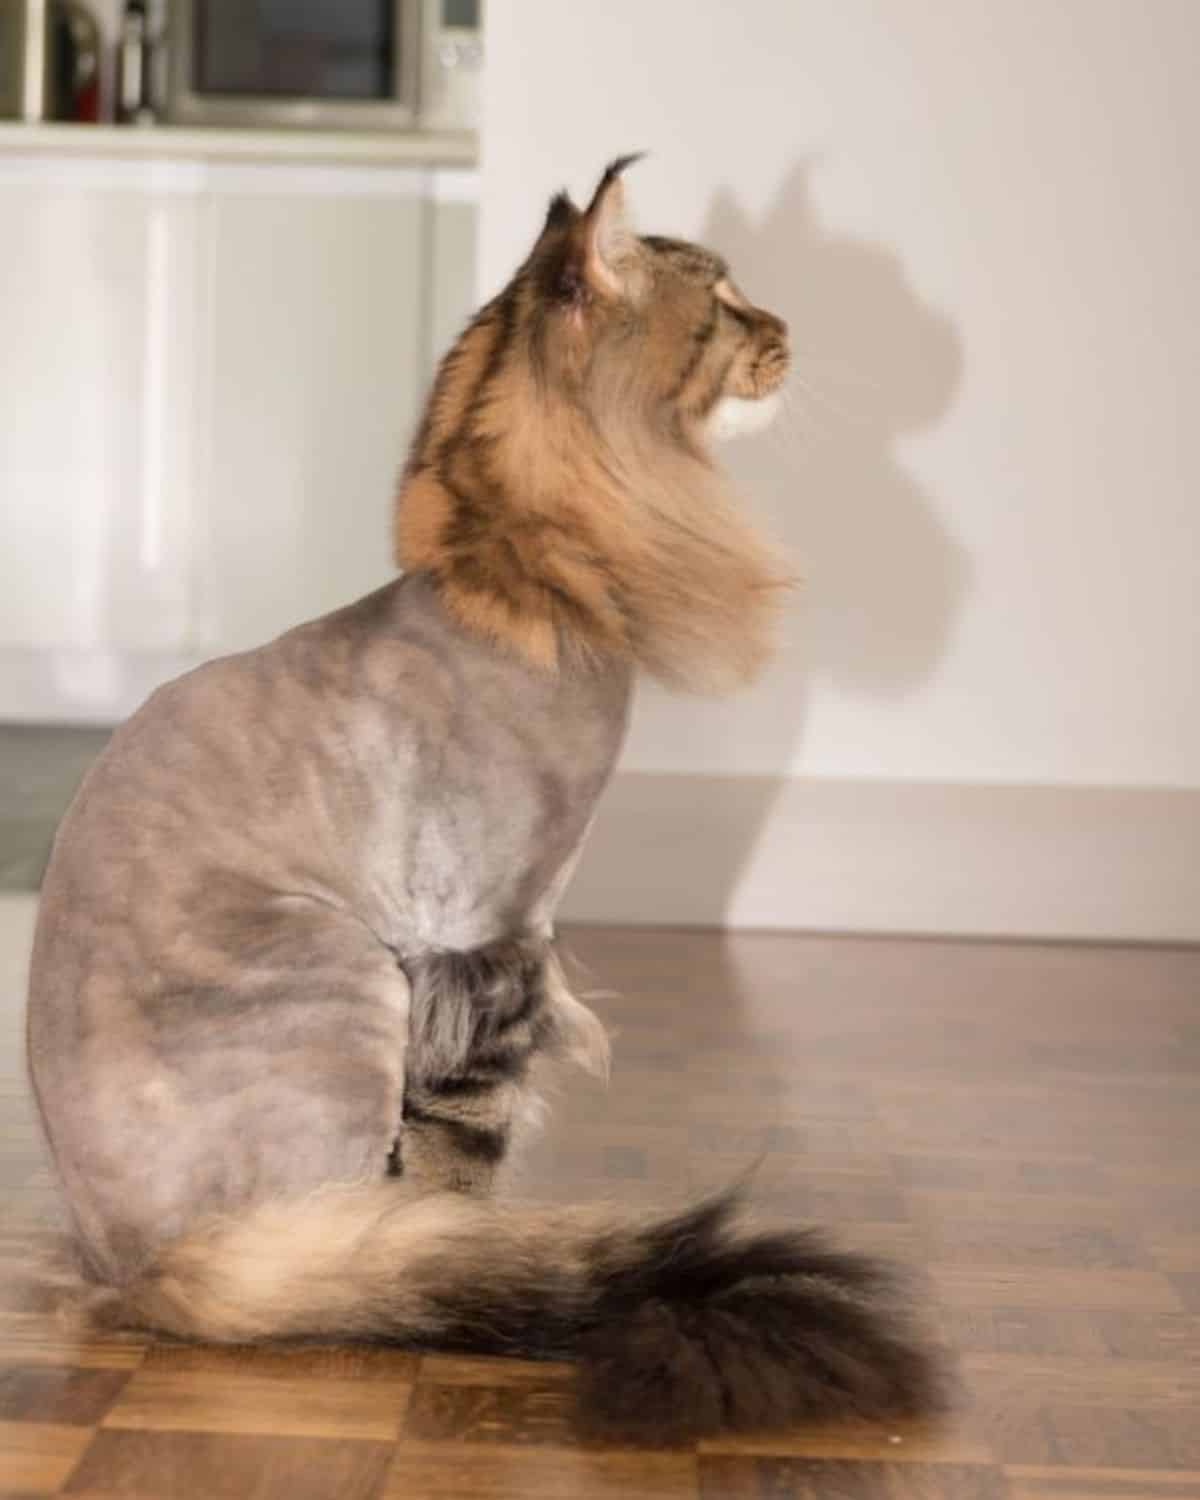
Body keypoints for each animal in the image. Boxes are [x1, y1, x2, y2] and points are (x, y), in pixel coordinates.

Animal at [21, 155, 936, 1440]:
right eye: (723, 302)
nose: (786, 330)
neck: (525, 595)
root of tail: (137, 1274)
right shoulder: (488, 936)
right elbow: (465, 1142)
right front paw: (460, 1249)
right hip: (347, 979)